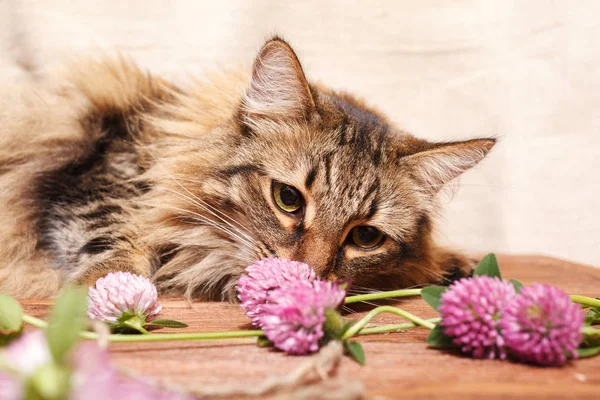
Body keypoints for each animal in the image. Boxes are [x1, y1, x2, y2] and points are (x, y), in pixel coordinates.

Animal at [0, 38, 494, 300]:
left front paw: (450, 263)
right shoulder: (101, 163)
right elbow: (109, 229)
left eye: (365, 237)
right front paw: (109, 290)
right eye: (288, 199)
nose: (307, 276)